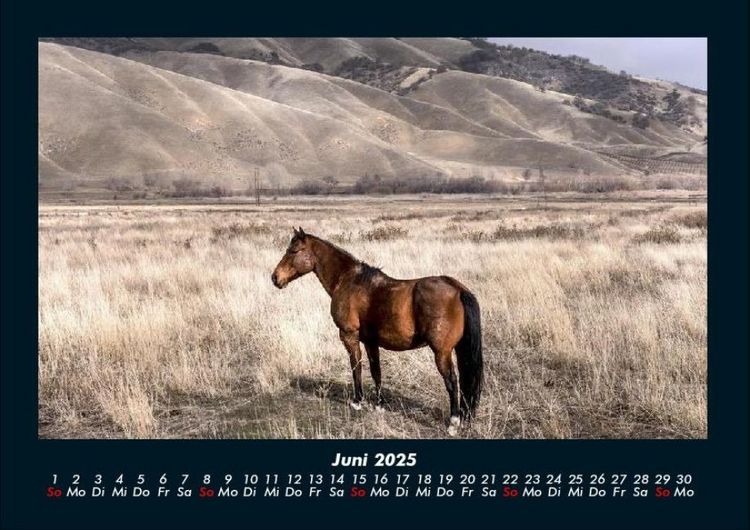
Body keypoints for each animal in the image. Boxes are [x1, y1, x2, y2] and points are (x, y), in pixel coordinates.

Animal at [271, 227, 483, 435]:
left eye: (293, 251)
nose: (275, 277)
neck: (348, 281)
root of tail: (457, 289)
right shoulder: (370, 341)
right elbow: (376, 371)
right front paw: (379, 404)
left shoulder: (349, 336)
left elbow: (356, 367)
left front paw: (358, 401)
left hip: (442, 353)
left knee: (452, 381)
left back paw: (453, 423)